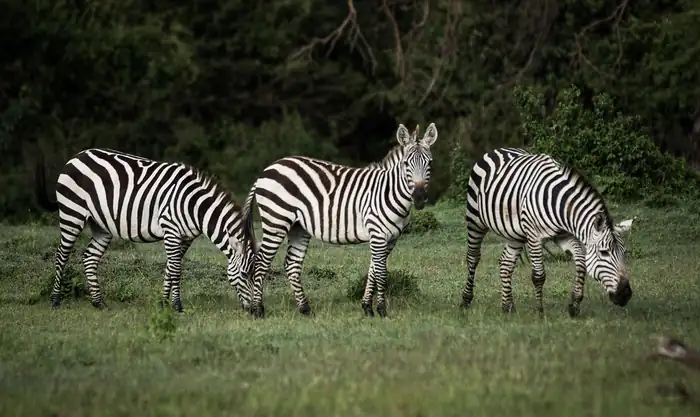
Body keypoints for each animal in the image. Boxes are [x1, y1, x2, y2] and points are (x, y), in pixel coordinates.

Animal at [34, 148, 257, 312]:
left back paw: (98, 303)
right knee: (61, 255)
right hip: (72, 213)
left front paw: (163, 303)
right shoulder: (171, 229)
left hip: (101, 225)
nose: (254, 311)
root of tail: (77, 156)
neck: (195, 207)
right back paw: (55, 300)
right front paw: (177, 306)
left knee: (90, 257)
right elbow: (176, 269)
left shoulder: (185, 237)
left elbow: (170, 268)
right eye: (245, 274)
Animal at [242, 123, 438, 319]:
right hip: (276, 221)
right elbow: (382, 274)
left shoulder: (391, 239)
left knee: (292, 264)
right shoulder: (378, 234)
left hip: (298, 227)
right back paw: (257, 310)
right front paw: (382, 310)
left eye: (430, 163)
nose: (419, 198)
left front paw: (367, 307)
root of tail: (268, 169)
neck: (388, 191)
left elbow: (373, 271)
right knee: (261, 263)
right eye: (406, 163)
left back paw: (305, 309)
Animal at [462, 147, 632, 317]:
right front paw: (540, 311)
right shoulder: (534, 237)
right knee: (473, 258)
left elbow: (581, 264)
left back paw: (507, 307)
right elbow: (538, 276)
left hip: (515, 233)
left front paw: (575, 304)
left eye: (623, 252)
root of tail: (497, 150)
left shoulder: (563, 236)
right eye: (604, 253)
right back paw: (466, 300)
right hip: (475, 220)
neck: (561, 207)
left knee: (506, 263)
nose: (625, 295)